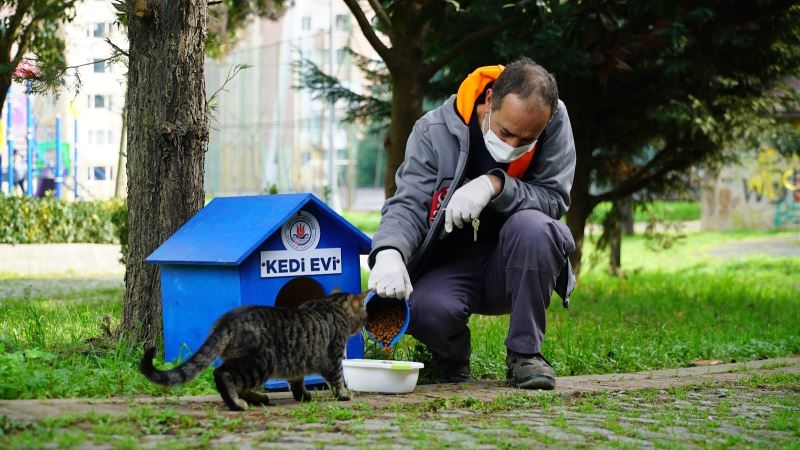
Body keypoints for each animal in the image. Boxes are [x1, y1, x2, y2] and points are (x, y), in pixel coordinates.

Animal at [141, 292, 368, 412]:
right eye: (365, 315)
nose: (364, 325)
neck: (331, 304)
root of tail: (228, 319)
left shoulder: (296, 363)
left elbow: (297, 381)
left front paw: (302, 395)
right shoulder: (333, 357)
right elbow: (337, 378)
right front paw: (344, 395)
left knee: (237, 383)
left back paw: (258, 398)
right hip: (259, 363)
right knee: (222, 374)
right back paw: (237, 404)